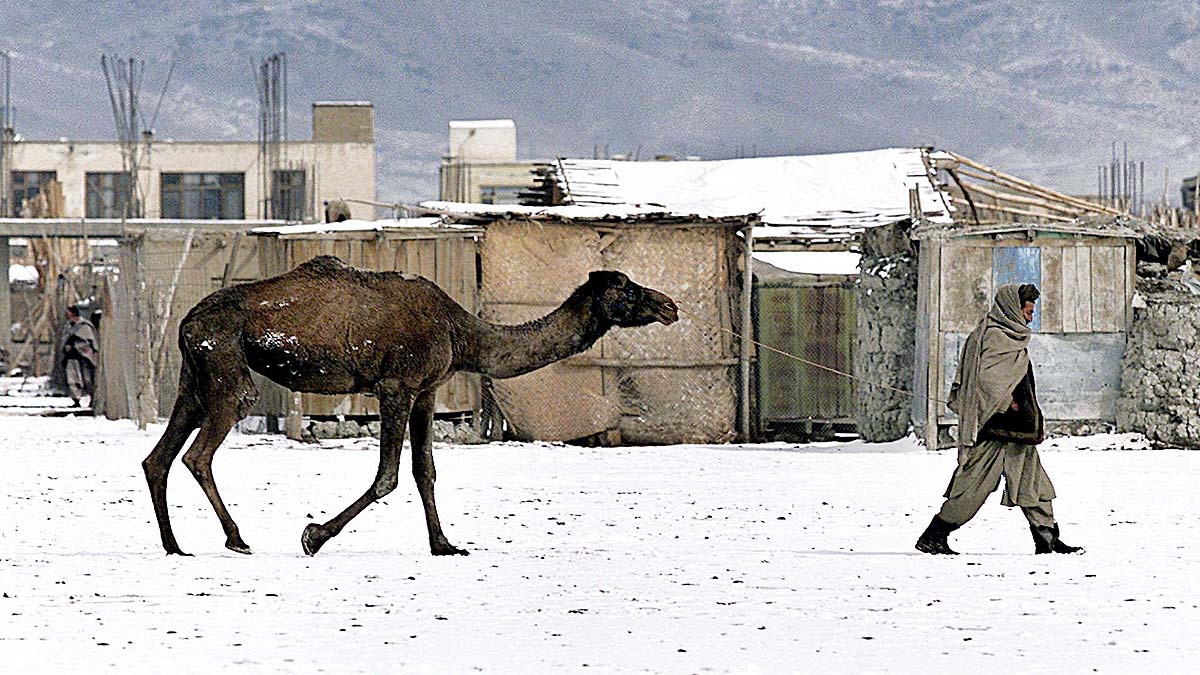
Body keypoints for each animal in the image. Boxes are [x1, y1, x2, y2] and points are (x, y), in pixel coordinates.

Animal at [141, 255, 679, 557]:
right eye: (627, 287)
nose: (669, 305)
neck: (462, 334)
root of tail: (186, 320)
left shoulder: (427, 389)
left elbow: (426, 471)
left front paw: (445, 545)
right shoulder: (396, 384)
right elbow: (388, 476)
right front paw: (314, 536)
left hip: (194, 376)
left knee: (158, 457)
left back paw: (174, 546)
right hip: (226, 367)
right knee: (199, 453)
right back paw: (236, 539)